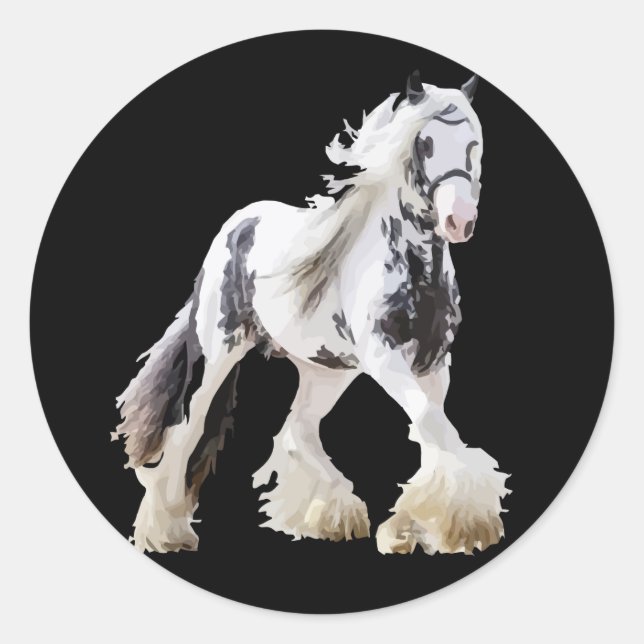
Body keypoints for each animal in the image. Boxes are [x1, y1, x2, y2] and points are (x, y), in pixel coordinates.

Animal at [114, 71, 510, 556]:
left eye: (475, 143)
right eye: (425, 143)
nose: (460, 221)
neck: (415, 265)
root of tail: (236, 225)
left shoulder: (434, 364)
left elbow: (433, 430)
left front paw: (411, 529)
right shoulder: (385, 357)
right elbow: (430, 424)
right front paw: (459, 524)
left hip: (326, 370)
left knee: (295, 432)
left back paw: (326, 518)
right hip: (220, 352)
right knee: (188, 430)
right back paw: (165, 533)